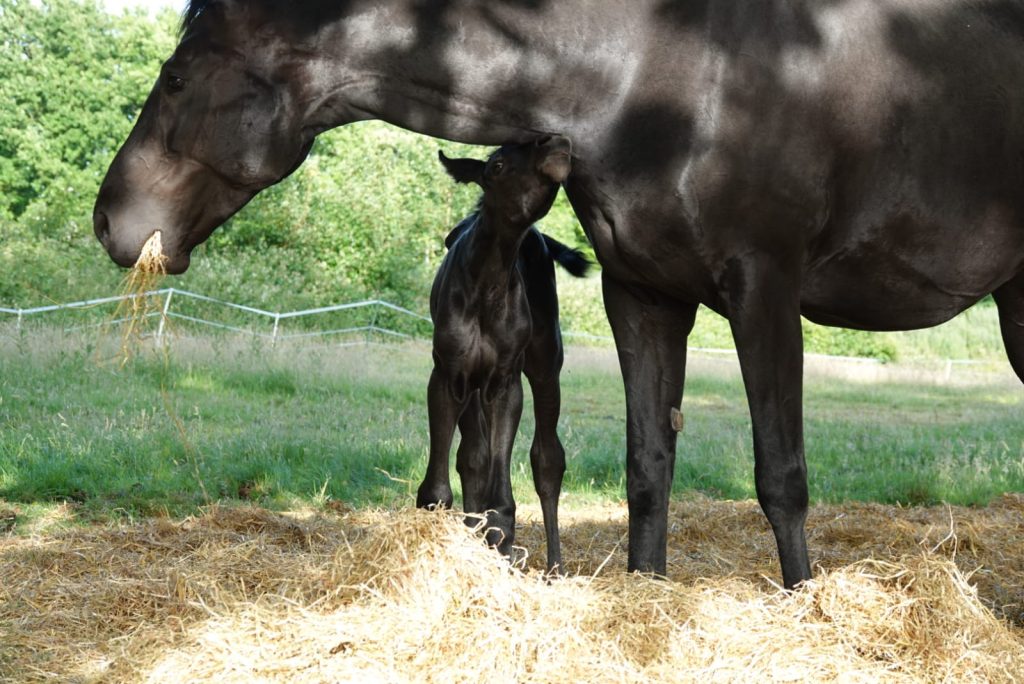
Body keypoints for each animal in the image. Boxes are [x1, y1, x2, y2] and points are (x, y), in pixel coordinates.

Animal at [417, 135, 593, 573]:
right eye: (495, 165)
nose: (555, 142)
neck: (487, 283)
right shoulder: (448, 373)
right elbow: (445, 481)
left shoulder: (505, 380)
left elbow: (505, 490)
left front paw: (501, 543)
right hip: (472, 385)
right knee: (473, 455)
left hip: (546, 361)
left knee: (548, 459)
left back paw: (555, 568)